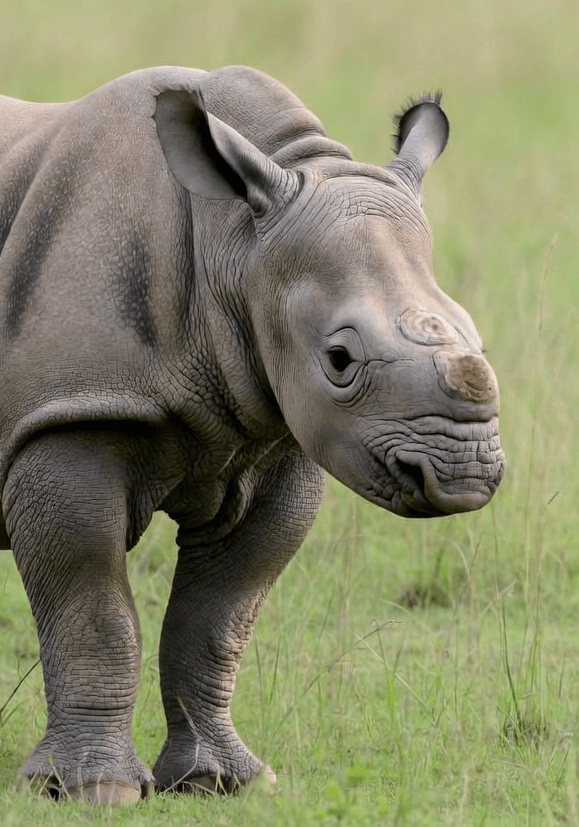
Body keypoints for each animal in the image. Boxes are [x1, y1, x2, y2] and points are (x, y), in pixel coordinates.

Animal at [0, 66, 505, 803]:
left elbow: (218, 617)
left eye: (477, 339)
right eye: (339, 359)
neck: (233, 242)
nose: (465, 475)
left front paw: (222, 780)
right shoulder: (73, 413)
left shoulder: (274, 431)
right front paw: (94, 791)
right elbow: (93, 610)